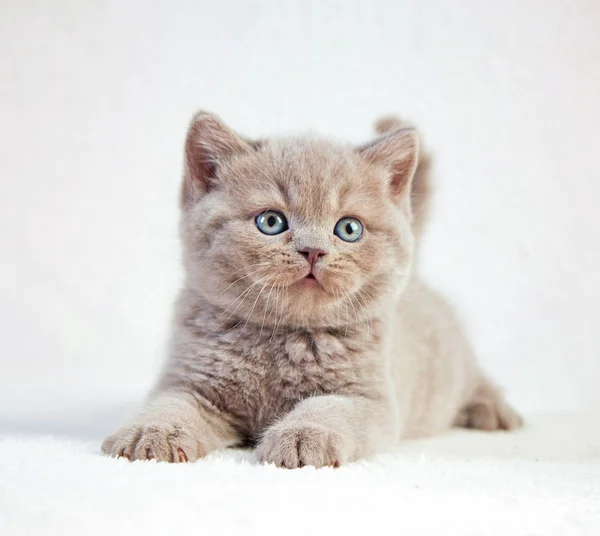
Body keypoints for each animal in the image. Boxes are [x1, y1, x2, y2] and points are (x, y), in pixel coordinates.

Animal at [102, 112, 520, 464]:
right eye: (270, 221)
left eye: (349, 228)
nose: (313, 250)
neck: (281, 339)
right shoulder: (190, 383)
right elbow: (170, 405)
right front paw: (150, 433)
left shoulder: (369, 399)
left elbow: (328, 409)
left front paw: (302, 437)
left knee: (472, 376)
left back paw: (494, 411)